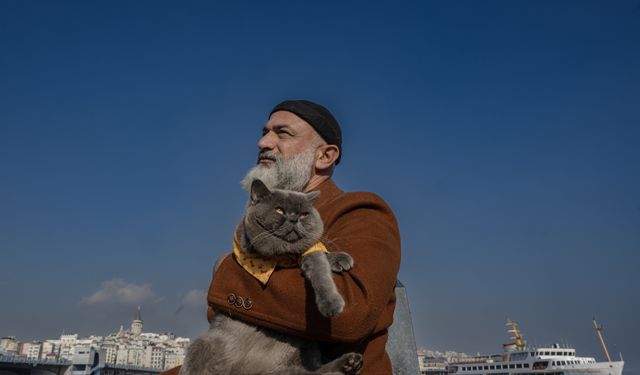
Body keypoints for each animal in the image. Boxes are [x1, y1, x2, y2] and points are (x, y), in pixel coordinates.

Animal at [180, 180, 362, 375]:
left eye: (304, 214)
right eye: (280, 210)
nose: (294, 218)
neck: (286, 258)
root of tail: (250, 371)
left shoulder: (308, 253)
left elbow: (319, 260)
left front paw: (340, 258)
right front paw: (332, 304)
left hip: (308, 346)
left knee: (312, 371)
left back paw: (350, 362)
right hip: (202, 344)